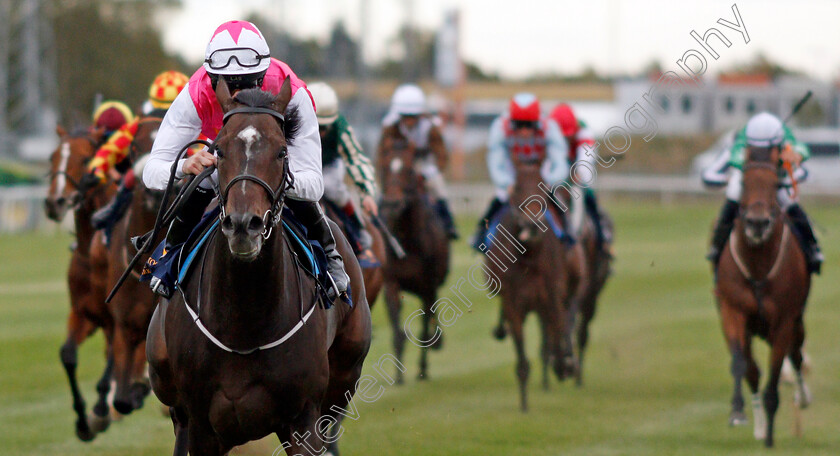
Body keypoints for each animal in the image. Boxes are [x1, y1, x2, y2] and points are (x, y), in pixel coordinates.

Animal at [145, 78, 370, 456]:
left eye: (281, 151)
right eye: (218, 151)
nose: (243, 225)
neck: (244, 322)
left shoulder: (303, 420)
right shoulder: (202, 426)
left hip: (343, 380)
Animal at [378, 139, 450, 382]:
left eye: (409, 170)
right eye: (384, 168)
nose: (392, 204)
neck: (407, 241)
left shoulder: (428, 285)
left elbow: (425, 328)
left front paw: (422, 368)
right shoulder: (391, 282)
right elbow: (397, 329)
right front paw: (398, 377)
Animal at [716, 148, 812, 448]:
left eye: (775, 184)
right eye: (744, 183)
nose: (757, 223)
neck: (758, 266)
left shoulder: (784, 321)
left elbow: (775, 377)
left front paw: (770, 437)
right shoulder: (732, 310)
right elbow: (742, 366)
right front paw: (738, 412)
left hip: (796, 324)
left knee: (797, 356)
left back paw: (802, 398)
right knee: (754, 369)